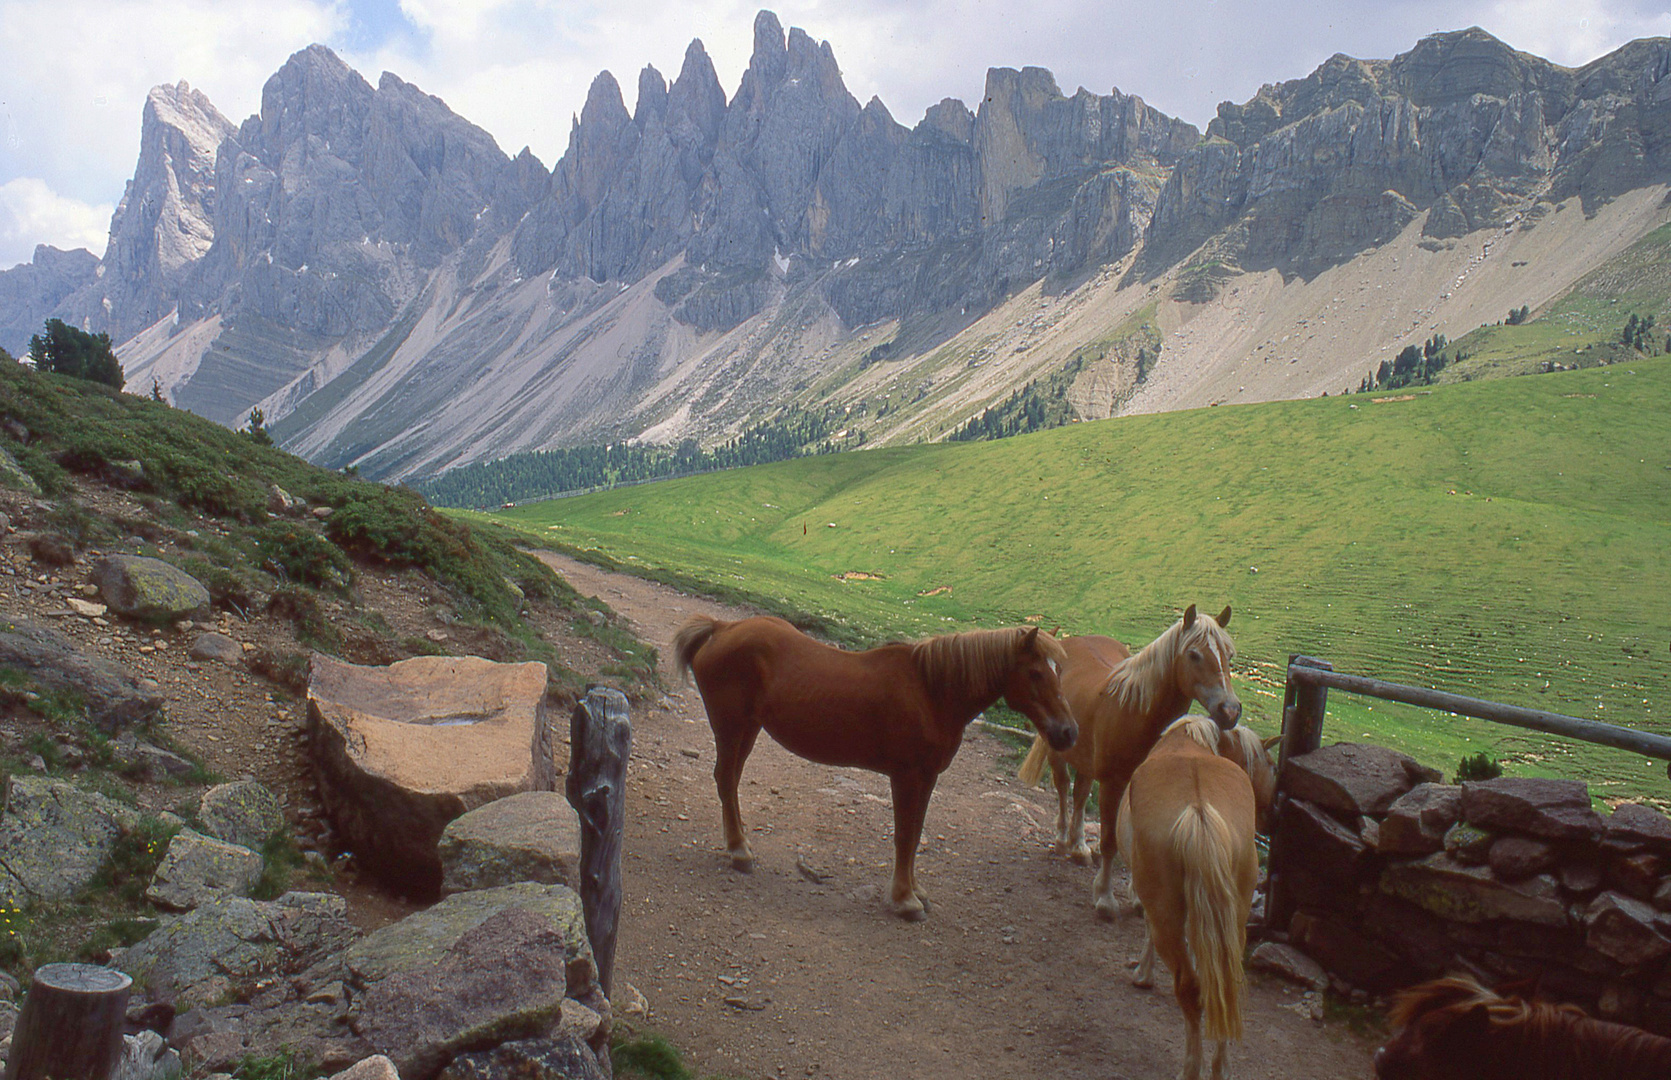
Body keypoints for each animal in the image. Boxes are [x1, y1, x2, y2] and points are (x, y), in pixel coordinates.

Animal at [671, 618, 1076, 922]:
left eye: (1060, 672)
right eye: (1036, 673)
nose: (1068, 732)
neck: (932, 692)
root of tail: (723, 627)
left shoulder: (927, 777)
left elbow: (916, 832)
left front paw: (916, 891)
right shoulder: (906, 776)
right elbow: (904, 836)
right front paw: (904, 899)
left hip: (749, 729)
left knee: (731, 781)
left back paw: (741, 843)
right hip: (730, 727)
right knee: (726, 780)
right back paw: (739, 851)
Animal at [1015, 605, 1243, 916]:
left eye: (1229, 655)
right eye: (1194, 654)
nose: (1229, 711)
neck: (1136, 714)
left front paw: (1137, 897)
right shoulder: (1112, 785)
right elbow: (1110, 841)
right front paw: (1105, 898)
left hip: (1086, 760)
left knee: (1080, 794)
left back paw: (1079, 847)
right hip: (1057, 750)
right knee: (1063, 788)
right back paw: (1063, 840)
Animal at [1122, 718, 1276, 1080]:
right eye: (1272, 764)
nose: (1273, 815)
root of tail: (1199, 809)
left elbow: (1147, 928)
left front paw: (1143, 975)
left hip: (1167, 914)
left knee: (1189, 987)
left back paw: (1191, 1069)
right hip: (1235, 917)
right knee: (1225, 985)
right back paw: (1220, 1068)